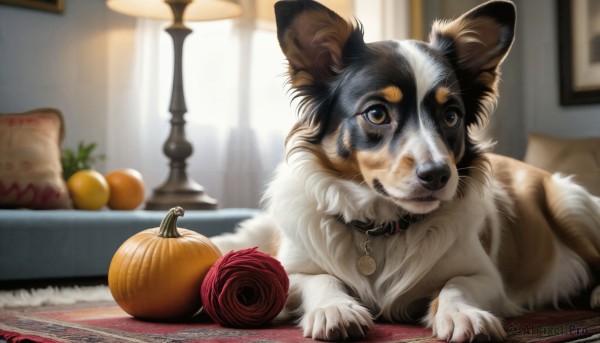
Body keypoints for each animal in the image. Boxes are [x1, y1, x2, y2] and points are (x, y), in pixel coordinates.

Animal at [211, 1, 600, 342]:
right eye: (377, 113)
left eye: (451, 116)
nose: (438, 175)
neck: (382, 228)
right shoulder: (291, 272)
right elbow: (321, 279)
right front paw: (336, 309)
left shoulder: (487, 276)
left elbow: (456, 285)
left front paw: (463, 314)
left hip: (570, 204)